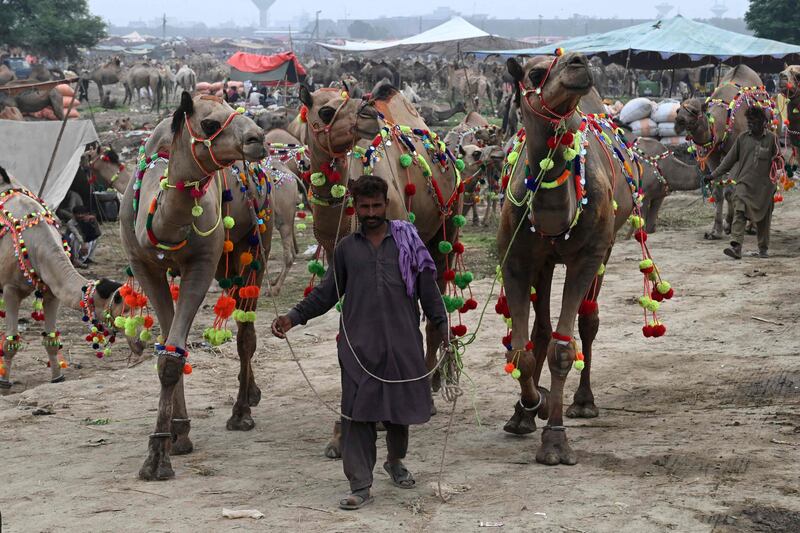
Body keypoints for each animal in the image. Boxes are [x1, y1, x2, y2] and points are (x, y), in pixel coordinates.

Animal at [0, 167, 124, 390]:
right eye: (121, 310)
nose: (140, 342)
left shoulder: (51, 289)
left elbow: (51, 338)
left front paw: (57, 376)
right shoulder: (10, 288)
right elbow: (11, 340)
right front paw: (4, 381)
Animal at [119, 93, 268, 480]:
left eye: (234, 110)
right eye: (209, 123)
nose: (258, 137)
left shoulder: (201, 263)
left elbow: (173, 358)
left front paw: (157, 457)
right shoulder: (144, 266)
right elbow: (169, 349)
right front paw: (177, 433)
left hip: (255, 245)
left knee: (246, 334)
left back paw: (241, 411)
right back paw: (252, 394)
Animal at [496, 52, 672, 464]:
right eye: (534, 73)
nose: (578, 62)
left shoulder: (588, 255)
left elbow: (564, 348)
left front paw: (555, 440)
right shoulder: (517, 258)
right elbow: (522, 350)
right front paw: (530, 408)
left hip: (604, 249)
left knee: (588, 322)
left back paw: (583, 402)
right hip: (545, 262)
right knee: (541, 331)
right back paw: (526, 411)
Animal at [676, 66, 768, 239]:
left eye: (694, 111)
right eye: (678, 109)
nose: (678, 121)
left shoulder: (738, 148)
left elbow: (730, 191)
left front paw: (729, 225)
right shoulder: (713, 156)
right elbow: (718, 191)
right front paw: (717, 230)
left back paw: (752, 227)